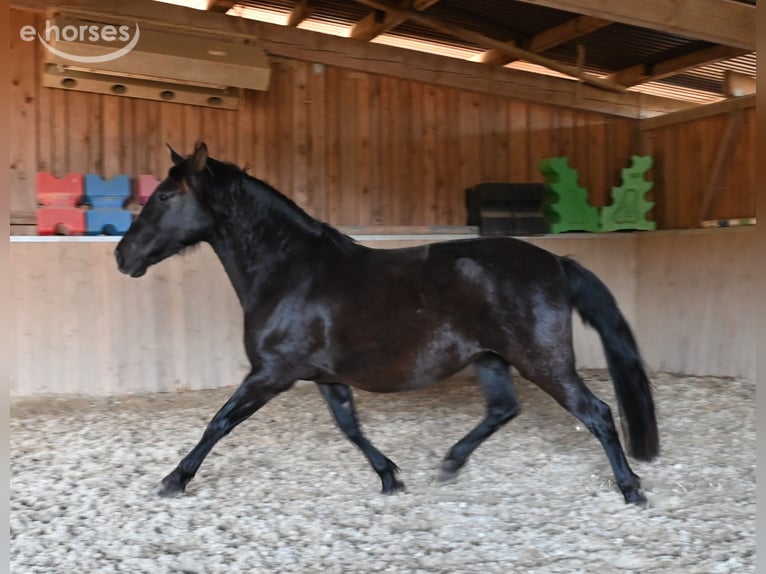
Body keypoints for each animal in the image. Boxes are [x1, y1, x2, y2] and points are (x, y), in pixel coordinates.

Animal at [114, 142, 659, 506]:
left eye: (165, 197)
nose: (123, 256)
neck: (290, 271)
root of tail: (555, 263)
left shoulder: (270, 374)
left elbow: (219, 422)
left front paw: (174, 480)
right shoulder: (326, 377)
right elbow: (351, 427)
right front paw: (390, 476)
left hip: (542, 361)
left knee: (596, 413)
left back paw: (631, 489)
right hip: (491, 359)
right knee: (504, 410)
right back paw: (450, 463)